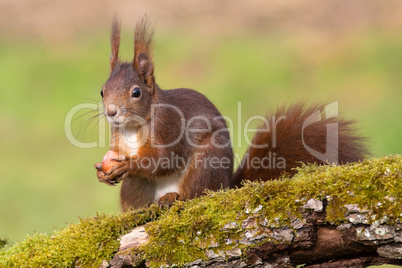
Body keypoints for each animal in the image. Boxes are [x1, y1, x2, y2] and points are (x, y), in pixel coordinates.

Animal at [93, 17, 368, 213]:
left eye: (136, 92)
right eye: (102, 91)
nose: (111, 112)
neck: (134, 125)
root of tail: (225, 186)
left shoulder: (169, 126)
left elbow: (164, 159)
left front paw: (128, 164)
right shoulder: (118, 137)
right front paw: (101, 172)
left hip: (206, 162)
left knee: (194, 194)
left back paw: (174, 197)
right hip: (137, 185)